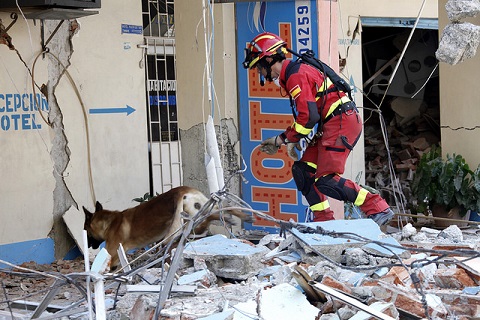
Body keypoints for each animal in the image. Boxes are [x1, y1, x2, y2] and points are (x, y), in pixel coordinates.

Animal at [82, 186, 249, 268]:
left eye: (85, 230)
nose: (88, 245)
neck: (109, 222)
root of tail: (181, 191)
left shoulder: (112, 253)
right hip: (202, 210)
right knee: (218, 211)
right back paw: (239, 215)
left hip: (192, 224)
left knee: (209, 219)